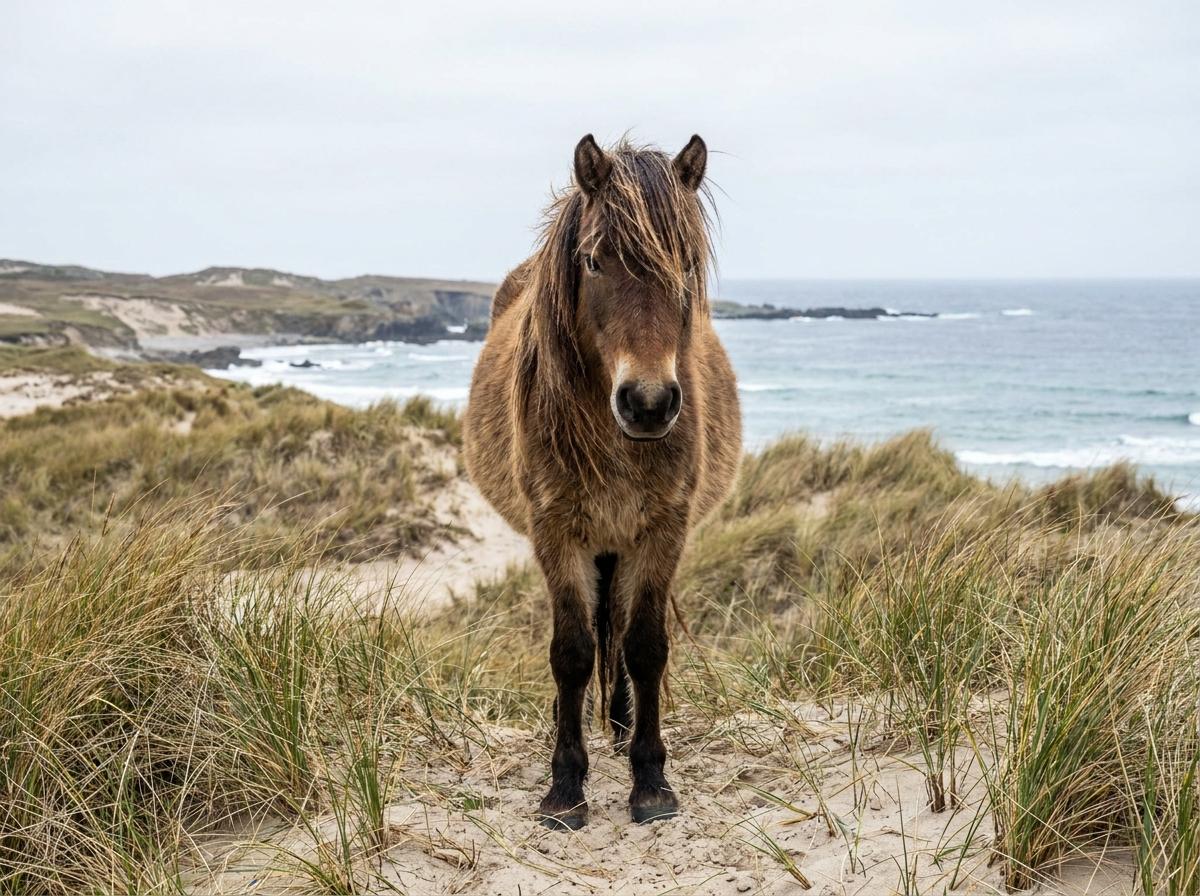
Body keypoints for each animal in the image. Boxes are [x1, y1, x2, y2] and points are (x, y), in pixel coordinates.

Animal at [462, 134, 742, 830]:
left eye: (686, 264)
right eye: (593, 260)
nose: (648, 404)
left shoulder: (662, 531)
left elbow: (643, 647)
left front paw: (650, 780)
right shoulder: (555, 532)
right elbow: (571, 652)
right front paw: (565, 786)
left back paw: (617, 730)